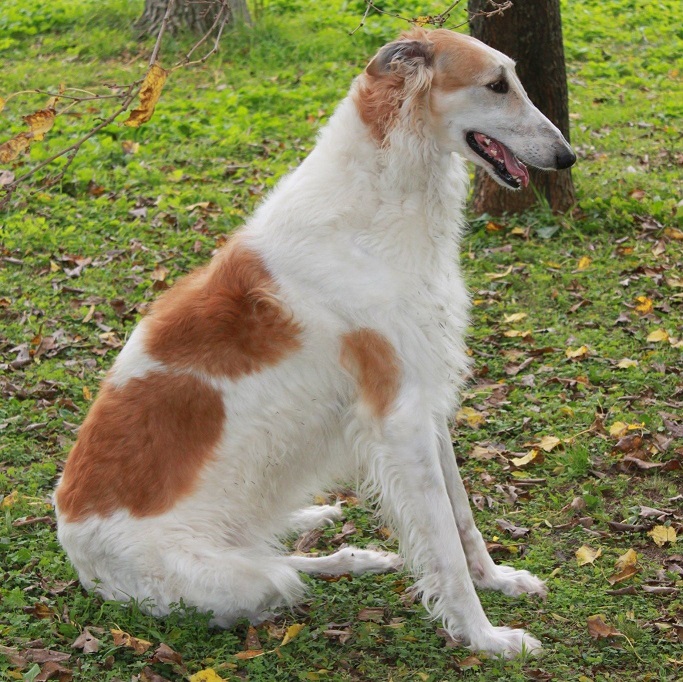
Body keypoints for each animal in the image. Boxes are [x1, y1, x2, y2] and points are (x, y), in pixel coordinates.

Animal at [54, 29, 576, 656]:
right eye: (496, 85)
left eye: (513, 78)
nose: (568, 156)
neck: (371, 207)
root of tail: (71, 542)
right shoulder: (399, 414)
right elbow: (445, 546)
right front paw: (485, 636)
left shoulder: (424, 397)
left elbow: (463, 517)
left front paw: (499, 580)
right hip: (235, 580)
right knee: (280, 570)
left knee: (278, 548)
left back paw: (333, 534)